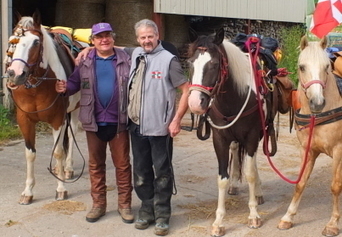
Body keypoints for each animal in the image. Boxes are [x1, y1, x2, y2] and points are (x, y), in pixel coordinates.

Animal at [3, 11, 80, 204]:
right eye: (12, 41)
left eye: (36, 42)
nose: (14, 74)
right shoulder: (25, 120)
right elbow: (30, 153)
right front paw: (27, 191)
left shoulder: (58, 120)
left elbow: (59, 152)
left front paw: (61, 189)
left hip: (75, 110)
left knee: (71, 134)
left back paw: (67, 169)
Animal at [188, 28, 268, 237]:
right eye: (190, 63)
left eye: (215, 64)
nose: (195, 103)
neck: (235, 98)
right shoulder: (220, 139)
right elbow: (222, 178)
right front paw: (218, 222)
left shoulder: (252, 136)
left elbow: (249, 173)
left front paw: (253, 215)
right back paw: (235, 185)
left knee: (252, 163)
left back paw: (258, 192)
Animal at [280, 36, 342, 236]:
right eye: (302, 67)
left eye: (326, 67)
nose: (317, 102)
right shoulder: (307, 150)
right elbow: (300, 183)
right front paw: (288, 217)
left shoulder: (339, 151)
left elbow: (335, 186)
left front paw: (332, 223)